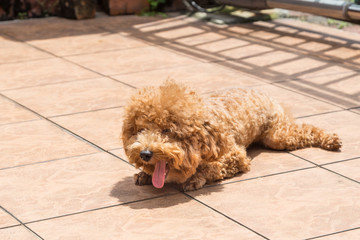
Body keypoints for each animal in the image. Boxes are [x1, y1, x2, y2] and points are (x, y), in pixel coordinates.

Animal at [122, 80, 342, 191]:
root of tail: (261, 91)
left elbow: (212, 168)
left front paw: (195, 179)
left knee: (305, 129)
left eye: (167, 130)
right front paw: (144, 174)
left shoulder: (235, 155)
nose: (145, 154)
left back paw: (331, 139)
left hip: (276, 136)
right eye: (140, 130)